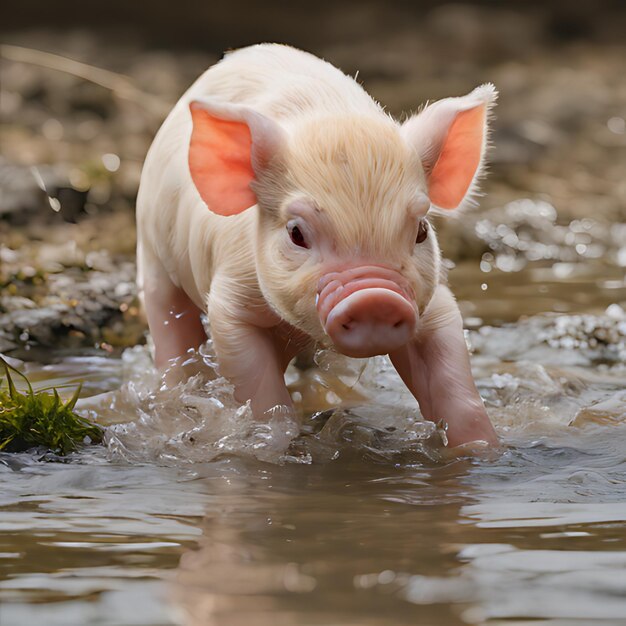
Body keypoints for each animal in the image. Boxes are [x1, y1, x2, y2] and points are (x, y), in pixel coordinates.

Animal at [136, 42, 498, 444]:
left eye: (421, 230)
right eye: (296, 233)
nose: (376, 299)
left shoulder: (432, 302)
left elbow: (453, 379)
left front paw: (483, 447)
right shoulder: (232, 300)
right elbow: (258, 387)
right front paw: (274, 438)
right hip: (152, 256)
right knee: (169, 323)